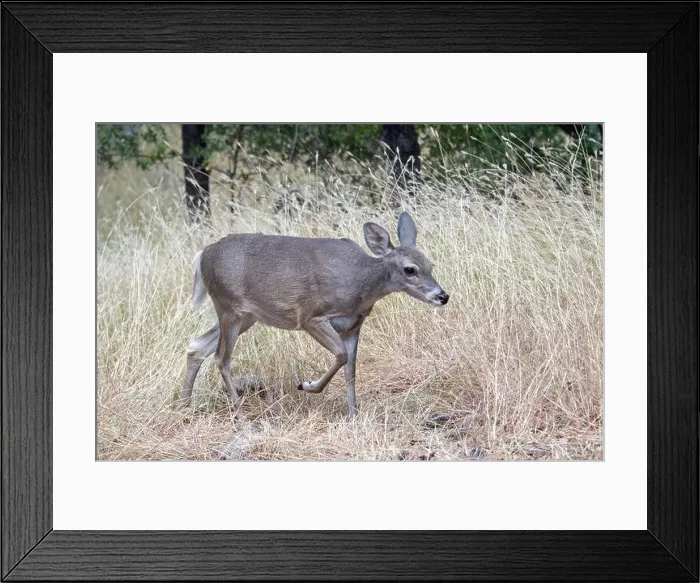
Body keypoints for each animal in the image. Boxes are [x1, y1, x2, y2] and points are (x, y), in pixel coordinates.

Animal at [178, 211, 449, 418]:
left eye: (431, 265)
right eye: (410, 269)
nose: (442, 296)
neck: (359, 283)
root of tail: (202, 255)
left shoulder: (354, 325)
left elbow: (351, 368)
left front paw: (353, 415)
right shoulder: (310, 315)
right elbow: (340, 356)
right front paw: (307, 385)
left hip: (247, 316)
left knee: (197, 347)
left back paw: (185, 408)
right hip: (229, 306)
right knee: (221, 357)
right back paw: (240, 415)